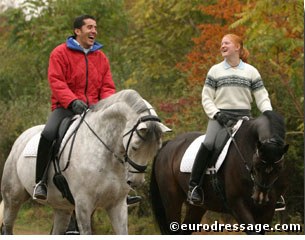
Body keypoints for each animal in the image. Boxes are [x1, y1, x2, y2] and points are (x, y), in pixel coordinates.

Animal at [150, 111, 288, 234]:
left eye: (279, 168)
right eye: (257, 166)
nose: (260, 198)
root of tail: (169, 144)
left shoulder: (268, 210)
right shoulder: (237, 205)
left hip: (198, 207)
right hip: (172, 202)